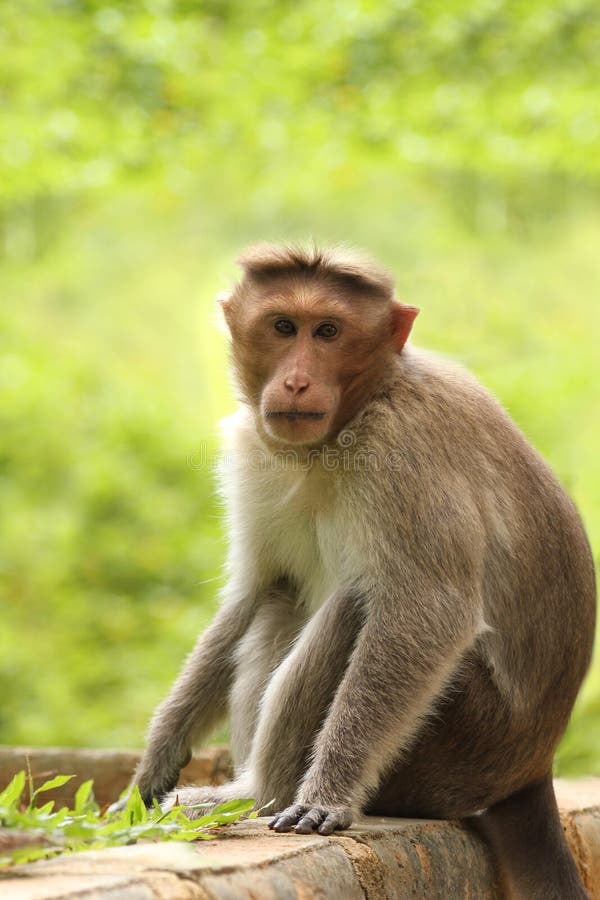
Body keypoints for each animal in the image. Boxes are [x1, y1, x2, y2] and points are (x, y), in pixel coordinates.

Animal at [127, 246, 596, 900]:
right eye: (283, 326)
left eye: (328, 332)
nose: (297, 380)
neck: (342, 429)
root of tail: (530, 769)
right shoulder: (254, 449)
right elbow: (252, 589)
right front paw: (158, 754)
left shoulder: (404, 448)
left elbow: (428, 611)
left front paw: (327, 795)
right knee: (283, 597)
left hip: (458, 744)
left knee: (355, 604)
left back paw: (254, 796)